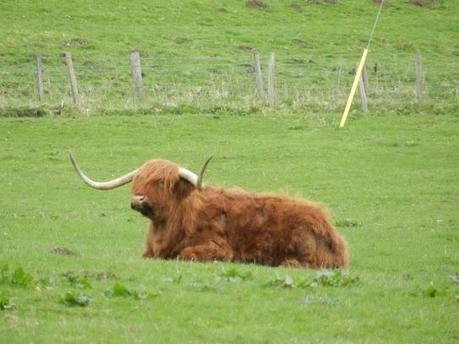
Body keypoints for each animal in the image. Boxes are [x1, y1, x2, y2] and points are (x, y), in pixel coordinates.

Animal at [69, 153, 348, 268]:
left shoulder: (219, 249)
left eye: (161, 183)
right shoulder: (149, 253)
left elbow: (185, 255)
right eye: (138, 181)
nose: (138, 199)